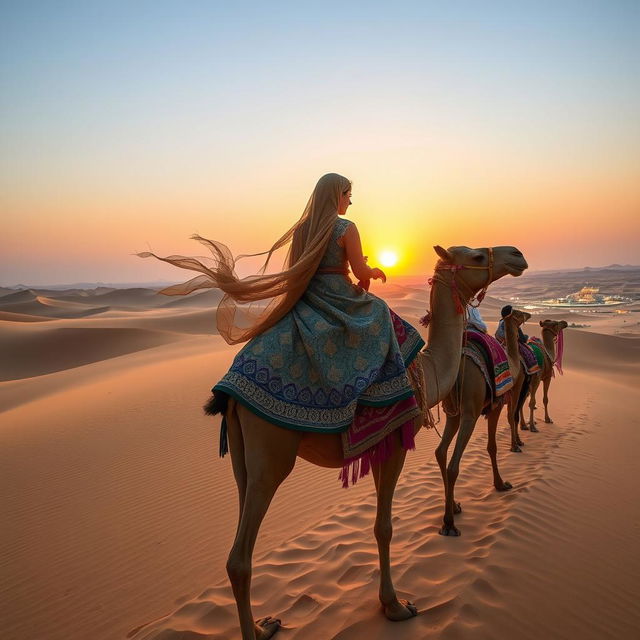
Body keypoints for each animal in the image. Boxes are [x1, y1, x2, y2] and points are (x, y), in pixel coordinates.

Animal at [438, 308, 532, 536]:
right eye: (519, 315)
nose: (529, 314)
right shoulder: (495, 406)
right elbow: (492, 446)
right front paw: (501, 484)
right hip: (469, 412)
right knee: (453, 464)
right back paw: (449, 524)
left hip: (452, 413)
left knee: (441, 451)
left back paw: (454, 506)